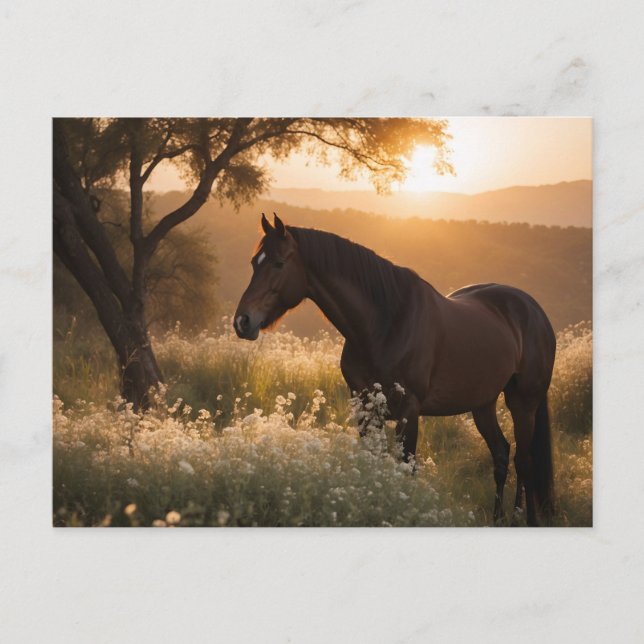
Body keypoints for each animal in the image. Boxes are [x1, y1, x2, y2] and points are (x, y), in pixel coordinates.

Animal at [234, 213, 556, 526]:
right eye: (253, 262)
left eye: (278, 263)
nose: (242, 321)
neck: (384, 325)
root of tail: (535, 312)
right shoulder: (365, 407)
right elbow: (374, 464)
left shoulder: (408, 410)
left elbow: (406, 467)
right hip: (483, 404)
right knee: (501, 454)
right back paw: (499, 518)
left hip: (523, 403)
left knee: (524, 461)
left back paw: (524, 519)